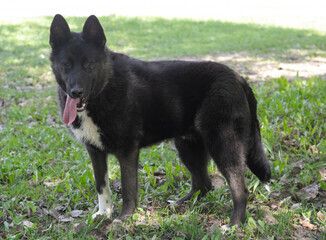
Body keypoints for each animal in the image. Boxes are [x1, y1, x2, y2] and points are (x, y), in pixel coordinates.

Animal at [49, 15, 270, 227]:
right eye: (66, 65)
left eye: (89, 65)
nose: (76, 92)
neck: (105, 86)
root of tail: (239, 78)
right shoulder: (95, 152)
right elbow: (102, 186)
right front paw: (104, 214)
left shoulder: (127, 152)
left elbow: (128, 188)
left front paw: (124, 218)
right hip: (187, 146)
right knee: (203, 185)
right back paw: (181, 205)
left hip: (224, 145)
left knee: (240, 190)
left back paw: (234, 225)